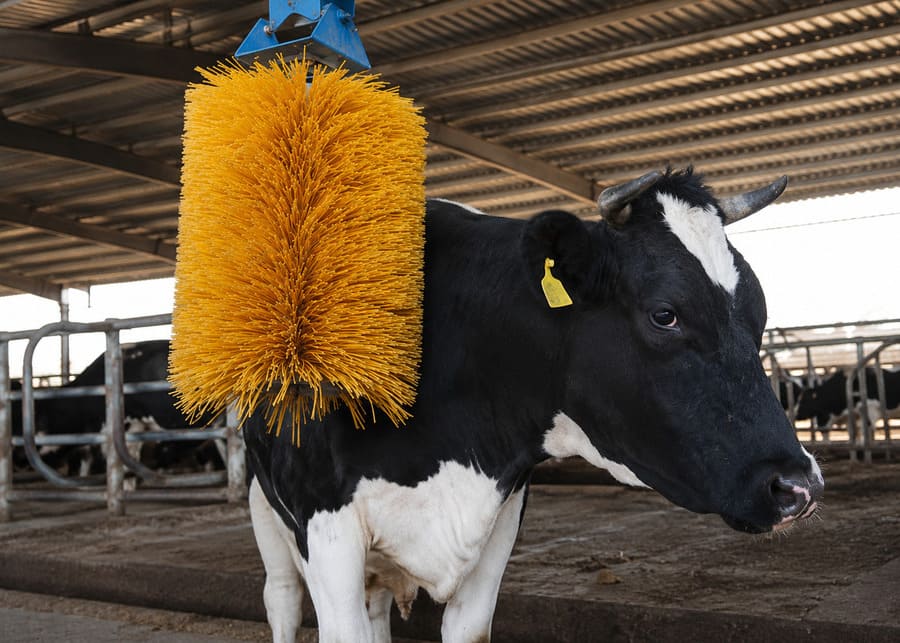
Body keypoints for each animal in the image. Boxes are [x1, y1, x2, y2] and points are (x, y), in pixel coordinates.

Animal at [243, 168, 824, 643]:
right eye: (665, 314)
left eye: (759, 310)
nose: (799, 486)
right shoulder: (326, 523)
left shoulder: (503, 509)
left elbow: (468, 628)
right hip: (264, 505)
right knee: (281, 599)